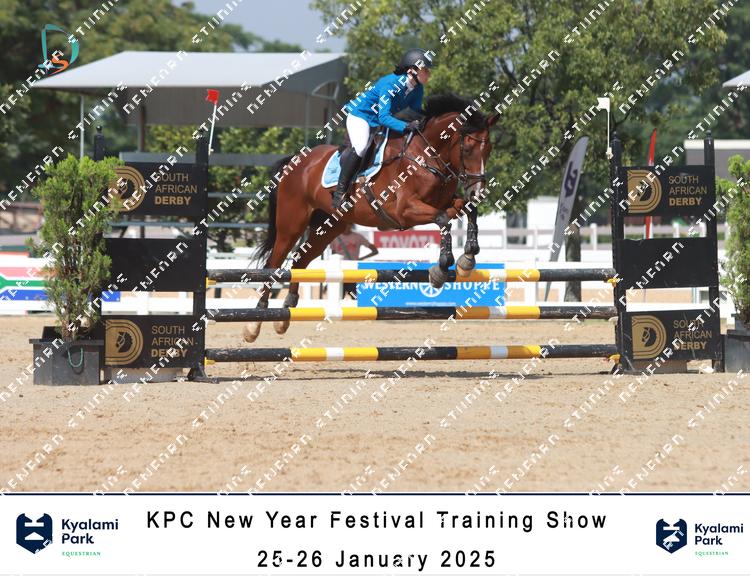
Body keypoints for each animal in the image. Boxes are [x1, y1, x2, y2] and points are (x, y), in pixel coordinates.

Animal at [244, 94, 499, 343]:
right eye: (468, 149)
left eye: (489, 149)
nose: (477, 192)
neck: (427, 156)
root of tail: (296, 161)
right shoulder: (404, 211)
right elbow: (443, 219)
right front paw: (442, 269)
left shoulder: (445, 202)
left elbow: (466, 210)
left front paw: (467, 259)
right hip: (291, 225)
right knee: (273, 264)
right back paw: (255, 323)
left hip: (328, 227)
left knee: (300, 260)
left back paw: (285, 313)